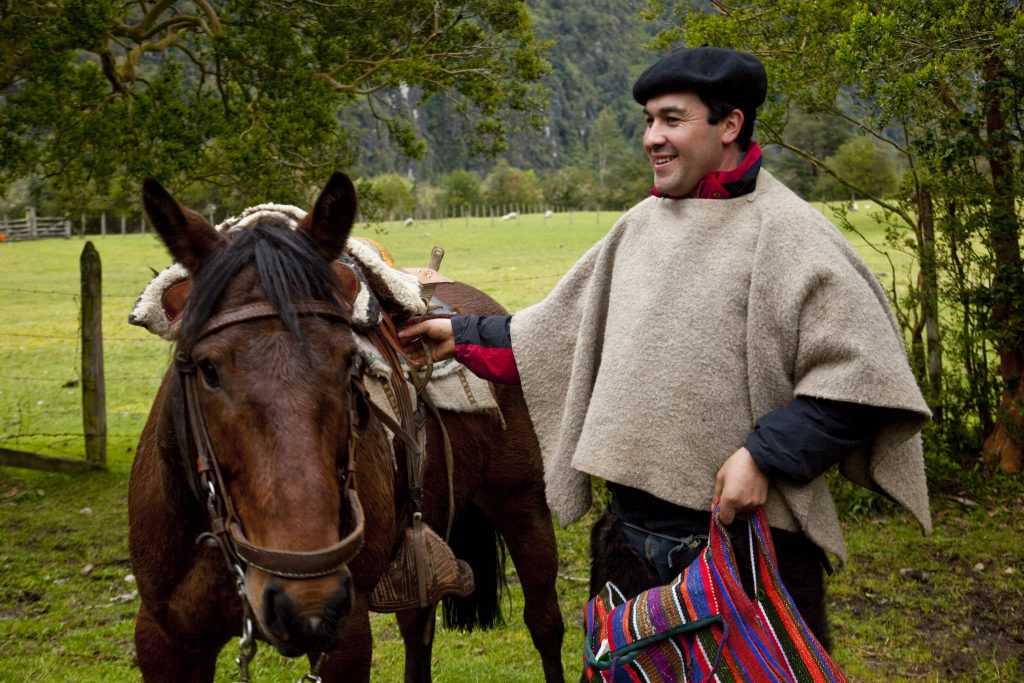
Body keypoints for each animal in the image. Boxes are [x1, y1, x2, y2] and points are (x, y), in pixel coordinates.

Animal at [125, 174, 569, 679]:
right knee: (419, 631)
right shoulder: (163, 640)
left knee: (544, 623)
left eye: (350, 362)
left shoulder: (346, 635)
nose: (306, 599)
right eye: (208, 369)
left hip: (523, 505)